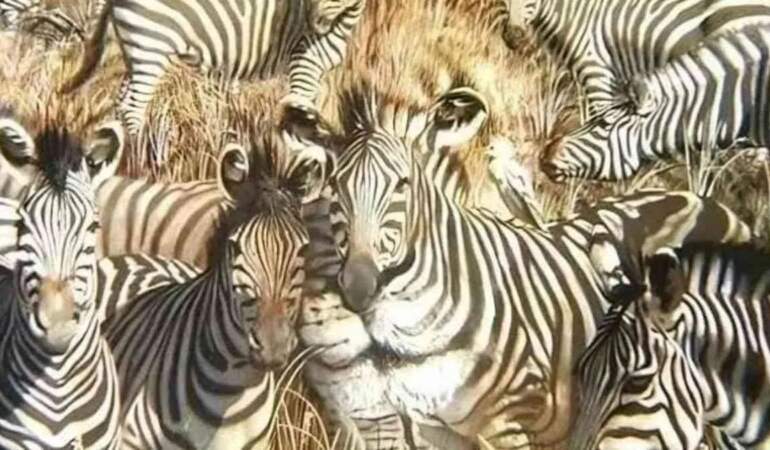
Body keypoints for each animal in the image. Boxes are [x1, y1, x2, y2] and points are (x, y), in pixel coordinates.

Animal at [60, 0, 366, 135]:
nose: (312, 26)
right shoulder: (304, 63)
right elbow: (299, 113)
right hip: (151, 45)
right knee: (134, 107)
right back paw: (139, 162)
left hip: (132, 52)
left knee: (122, 101)